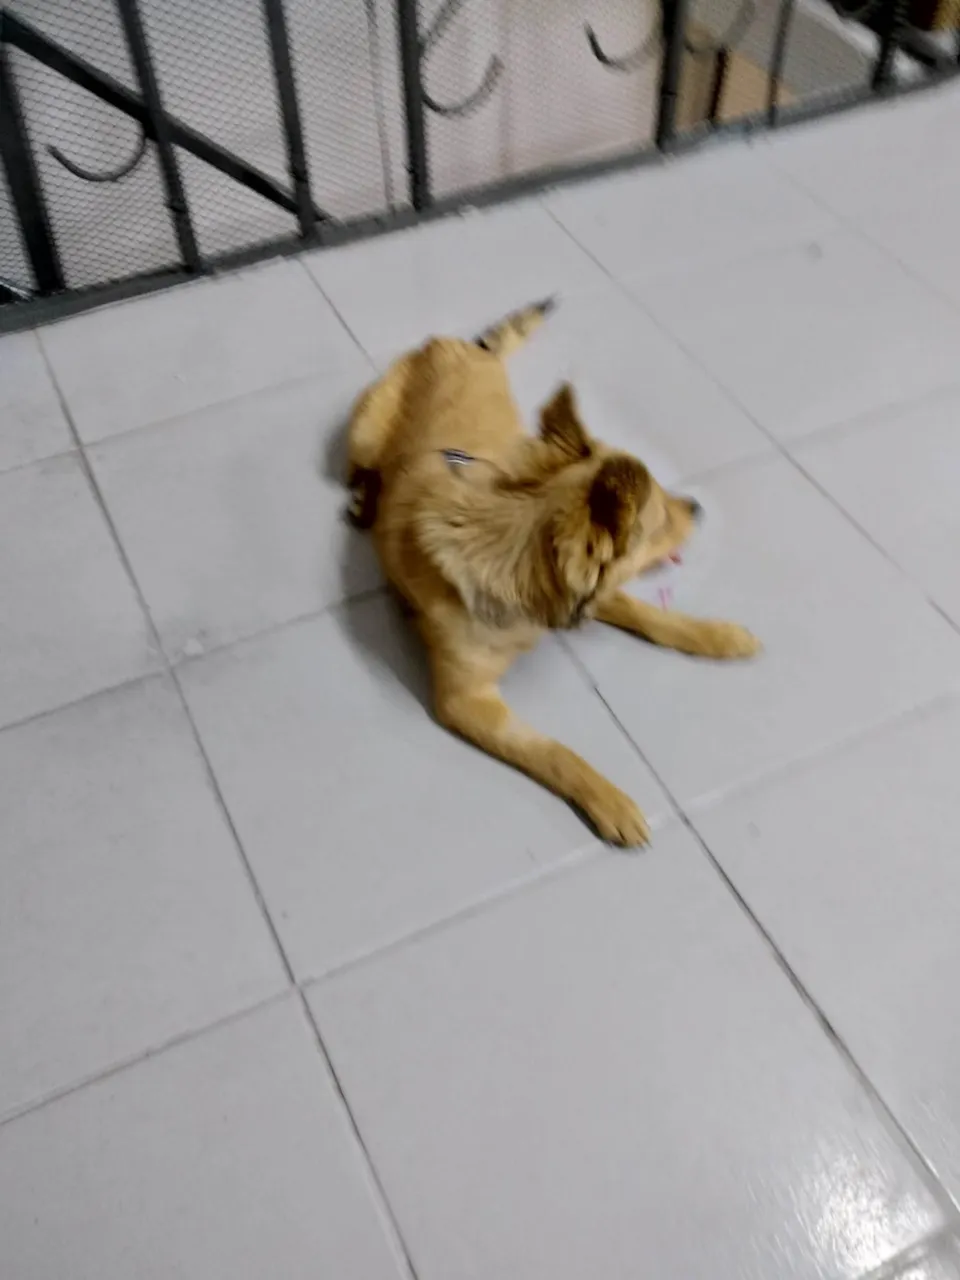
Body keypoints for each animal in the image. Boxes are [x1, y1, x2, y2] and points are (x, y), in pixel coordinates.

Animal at [345, 299, 760, 846]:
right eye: (663, 522)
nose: (698, 509)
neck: (515, 547)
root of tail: (454, 345)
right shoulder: (469, 702)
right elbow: (555, 752)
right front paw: (610, 801)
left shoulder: (585, 591)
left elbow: (651, 616)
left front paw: (717, 636)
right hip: (362, 434)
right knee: (360, 468)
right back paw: (361, 499)